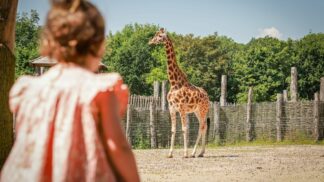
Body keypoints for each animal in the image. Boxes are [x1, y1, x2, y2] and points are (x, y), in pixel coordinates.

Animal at [149, 28, 210, 158]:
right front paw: (170, 154)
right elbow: (173, 129)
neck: (174, 83)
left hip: (203, 109)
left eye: (160, 36)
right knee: (204, 126)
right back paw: (200, 152)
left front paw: (185, 153)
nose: (150, 42)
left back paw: (194, 153)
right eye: (155, 35)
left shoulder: (181, 108)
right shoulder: (172, 108)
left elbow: (184, 128)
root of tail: (208, 96)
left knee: (202, 126)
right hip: (197, 111)